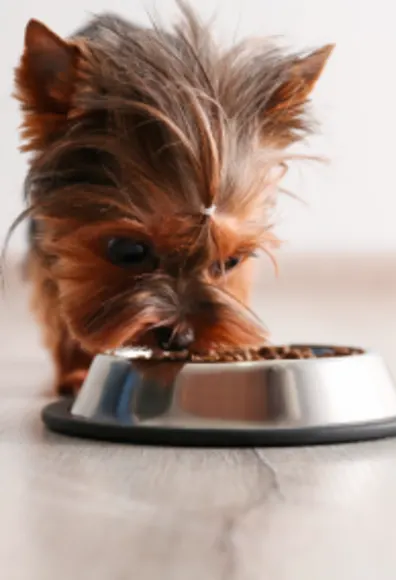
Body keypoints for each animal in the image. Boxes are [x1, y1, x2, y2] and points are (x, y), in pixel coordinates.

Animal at [12, 2, 332, 392]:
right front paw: (75, 371)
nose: (181, 339)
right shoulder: (48, 242)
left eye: (230, 262)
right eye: (128, 251)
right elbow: (59, 305)